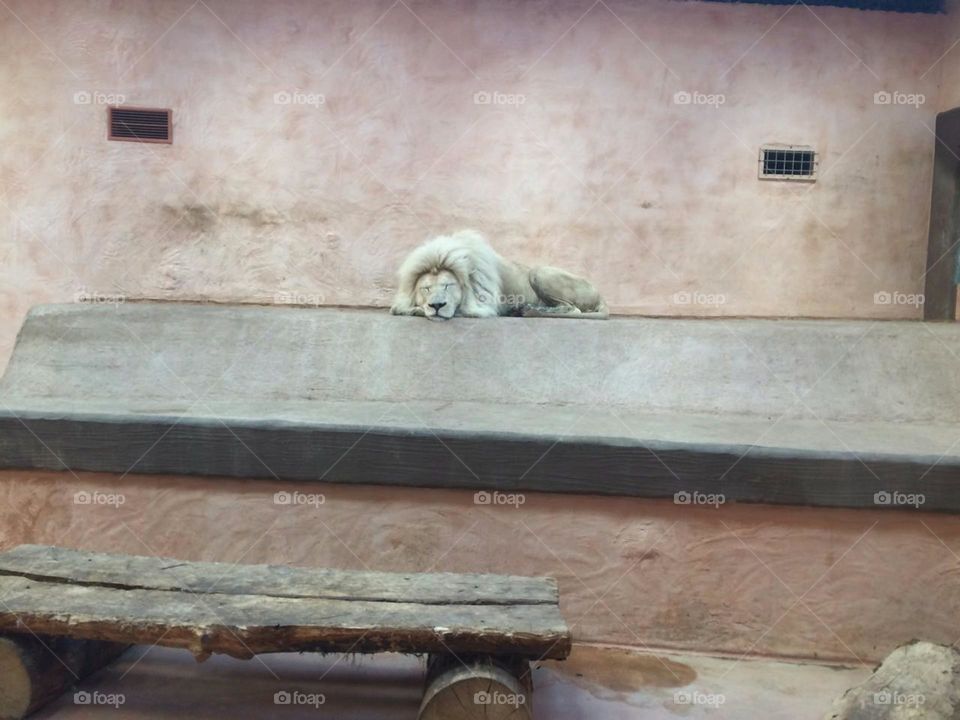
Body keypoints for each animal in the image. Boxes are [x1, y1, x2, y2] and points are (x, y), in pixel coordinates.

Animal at [389, 230, 608, 320]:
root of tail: (601, 295)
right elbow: (399, 307)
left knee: (573, 309)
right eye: (426, 289)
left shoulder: (482, 307)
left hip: (539, 271)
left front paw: (417, 310)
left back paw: (527, 309)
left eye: (448, 286)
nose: (436, 305)